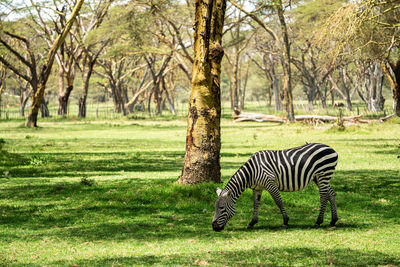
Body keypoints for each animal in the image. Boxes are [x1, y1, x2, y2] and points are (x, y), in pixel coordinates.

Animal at [211, 143, 340, 231]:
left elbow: (278, 201)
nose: (214, 227)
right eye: (215, 208)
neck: (251, 172)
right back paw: (333, 221)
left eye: (221, 208)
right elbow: (256, 204)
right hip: (318, 178)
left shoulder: (270, 183)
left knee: (324, 197)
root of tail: (331, 149)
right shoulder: (257, 188)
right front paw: (252, 222)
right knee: (331, 194)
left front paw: (286, 221)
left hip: (323, 174)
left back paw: (319, 221)